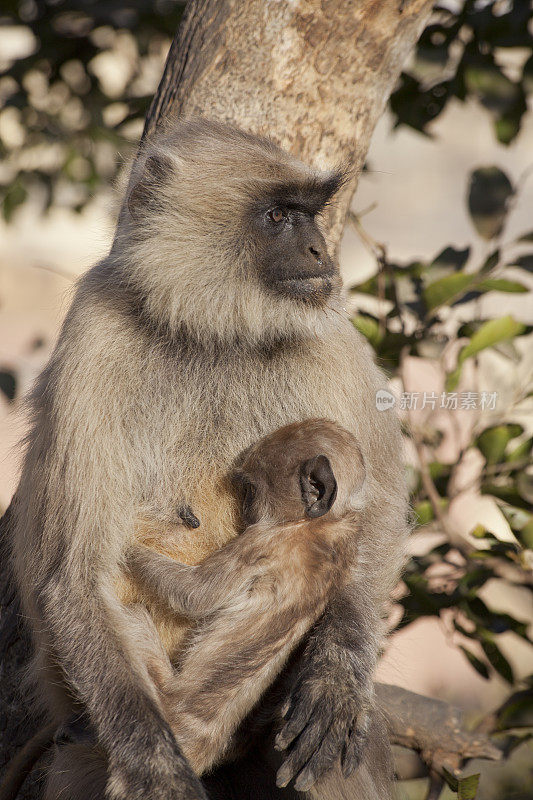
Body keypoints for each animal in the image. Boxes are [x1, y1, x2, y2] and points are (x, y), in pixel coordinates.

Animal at [126, 416, 364, 784]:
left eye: (251, 489)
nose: (246, 510)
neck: (324, 526)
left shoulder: (262, 540)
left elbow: (194, 596)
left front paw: (126, 548)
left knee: (134, 618)